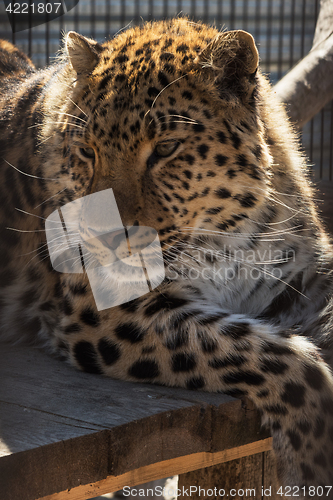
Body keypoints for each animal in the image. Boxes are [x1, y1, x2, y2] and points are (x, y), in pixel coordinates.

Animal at [1, 17, 332, 494]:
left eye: (165, 149)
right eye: (87, 151)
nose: (102, 238)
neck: (225, 239)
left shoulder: (304, 279)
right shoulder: (108, 312)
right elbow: (274, 353)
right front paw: (313, 460)